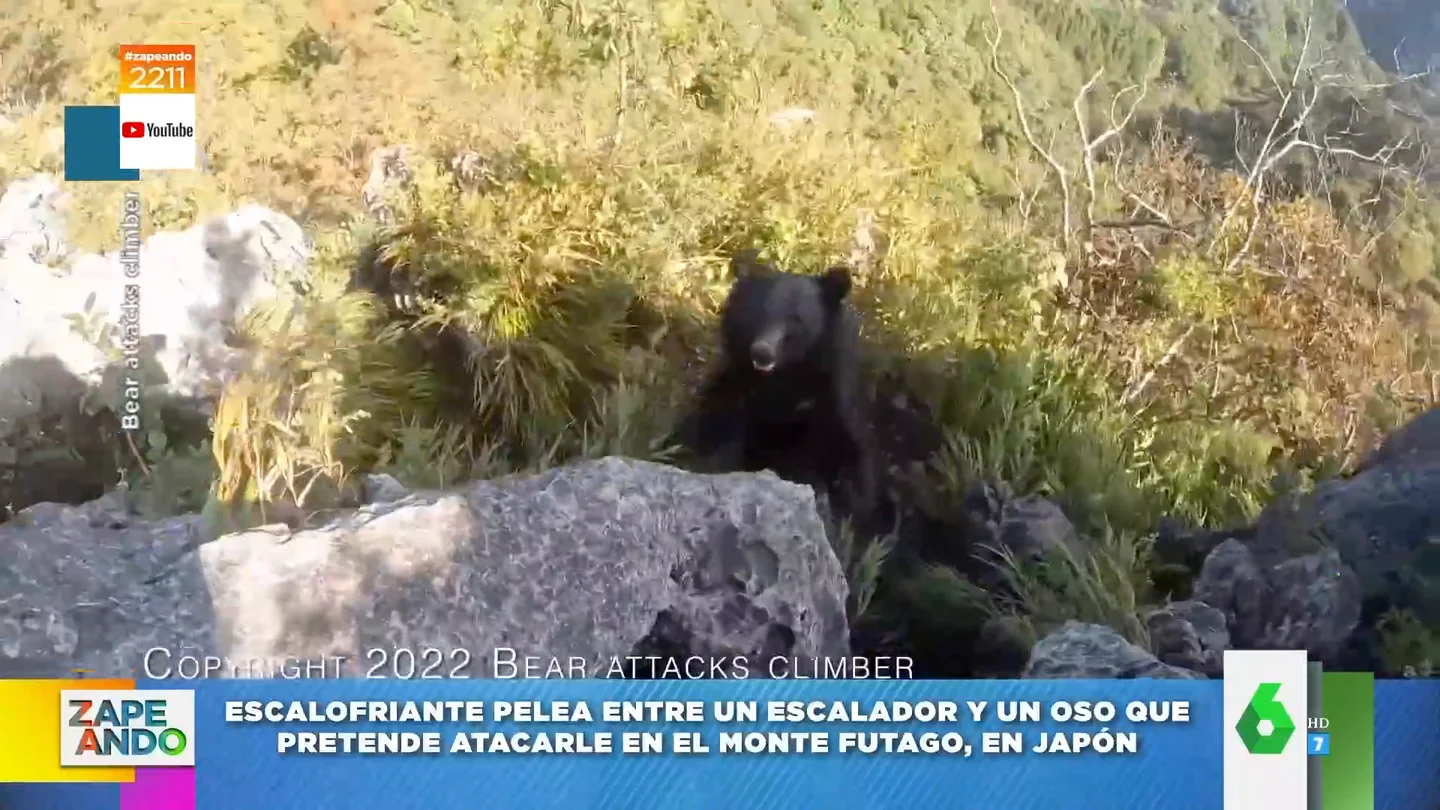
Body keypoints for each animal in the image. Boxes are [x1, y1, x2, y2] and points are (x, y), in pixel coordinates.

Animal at [681, 249, 879, 527]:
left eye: (796, 321)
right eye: (759, 312)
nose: (762, 352)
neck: (783, 378)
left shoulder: (831, 403)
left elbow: (850, 470)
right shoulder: (735, 392)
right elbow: (716, 435)